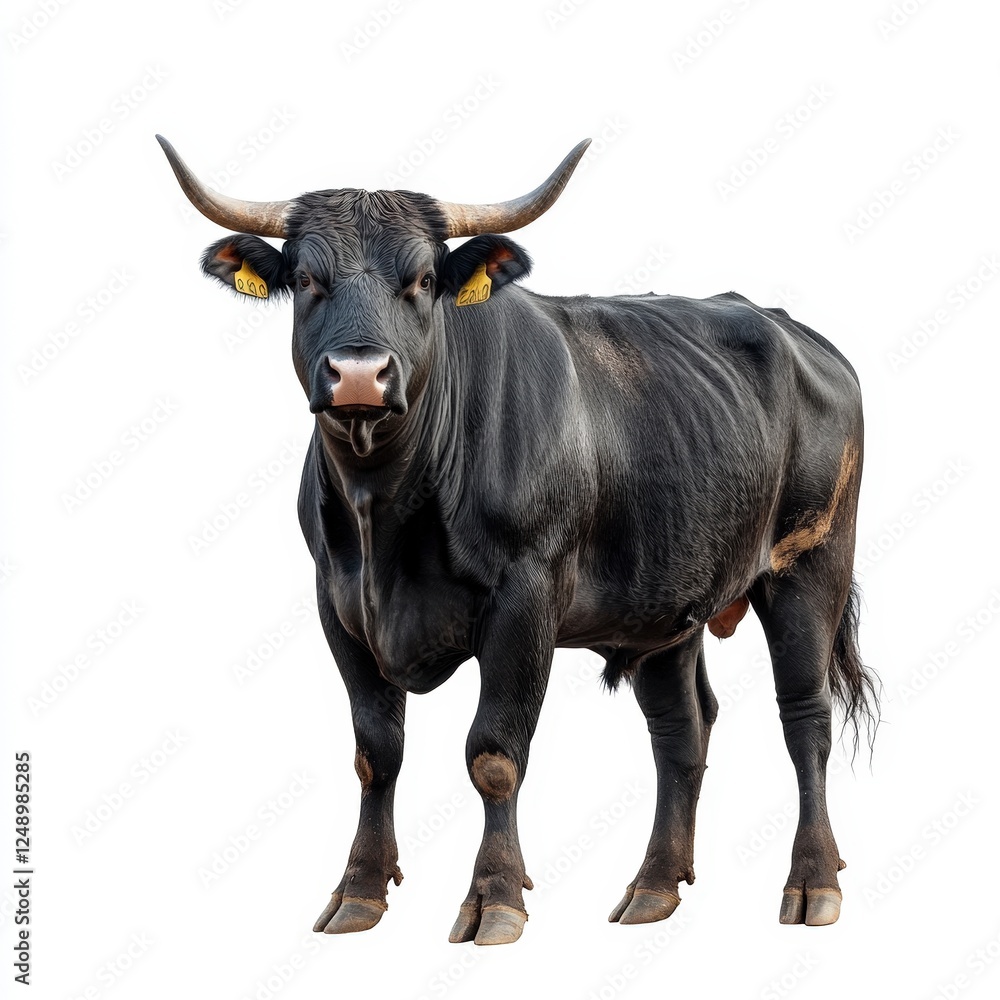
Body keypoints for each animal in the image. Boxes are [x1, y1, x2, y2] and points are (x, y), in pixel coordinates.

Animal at [158, 134, 878, 946]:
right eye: (307, 278)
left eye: (424, 279)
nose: (359, 376)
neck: (387, 518)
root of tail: (801, 335)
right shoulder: (337, 607)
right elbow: (377, 753)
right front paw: (359, 891)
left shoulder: (525, 601)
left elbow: (494, 753)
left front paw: (494, 897)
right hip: (669, 601)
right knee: (681, 731)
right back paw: (653, 887)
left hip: (810, 566)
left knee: (805, 718)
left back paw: (812, 884)